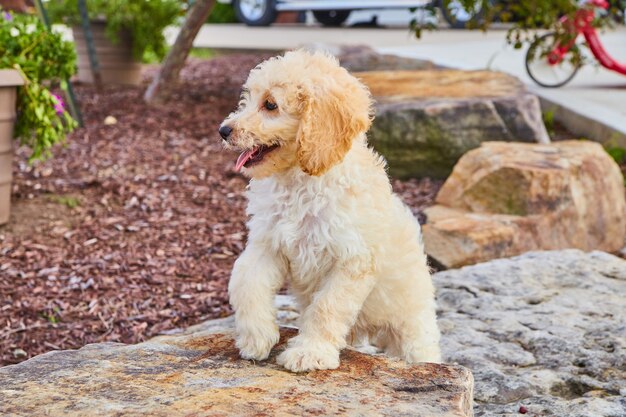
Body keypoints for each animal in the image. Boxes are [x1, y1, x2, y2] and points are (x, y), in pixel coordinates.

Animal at [218, 48, 438, 370]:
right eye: (248, 98)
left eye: (270, 105)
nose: (223, 130)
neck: (300, 180)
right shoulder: (267, 243)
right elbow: (247, 283)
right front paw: (255, 337)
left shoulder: (352, 260)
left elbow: (327, 307)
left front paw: (309, 352)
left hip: (413, 329)